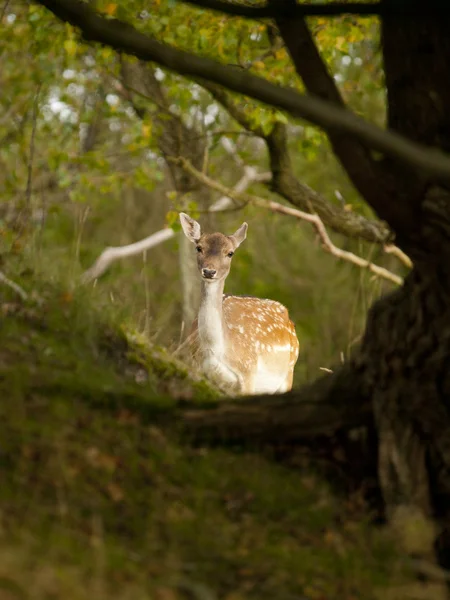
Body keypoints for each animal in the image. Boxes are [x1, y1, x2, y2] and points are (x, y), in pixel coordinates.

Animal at [178, 213, 298, 396]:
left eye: (230, 253)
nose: (209, 271)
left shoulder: (249, 371)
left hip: (288, 373)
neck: (216, 349)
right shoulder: (196, 370)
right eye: (198, 248)